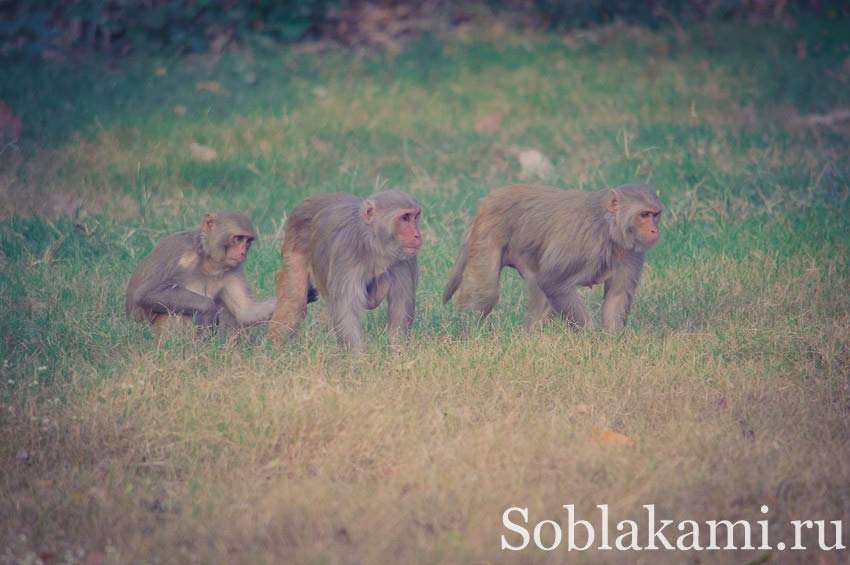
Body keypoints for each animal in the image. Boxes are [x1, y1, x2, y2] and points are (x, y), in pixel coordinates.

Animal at [125, 210, 274, 334]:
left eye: (248, 241)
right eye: (238, 238)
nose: (243, 252)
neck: (208, 259)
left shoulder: (234, 268)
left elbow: (245, 311)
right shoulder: (177, 252)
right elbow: (146, 294)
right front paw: (207, 309)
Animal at [268, 189, 420, 348]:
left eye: (415, 217)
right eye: (405, 218)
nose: (417, 235)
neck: (373, 243)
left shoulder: (405, 259)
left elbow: (401, 305)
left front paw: (396, 347)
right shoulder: (346, 249)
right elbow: (346, 310)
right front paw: (356, 354)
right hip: (295, 244)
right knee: (294, 301)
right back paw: (275, 346)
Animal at [444, 183, 664, 332]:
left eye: (655, 215)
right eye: (644, 215)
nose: (654, 231)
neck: (608, 226)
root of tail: (493, 196)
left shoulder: (631, 251)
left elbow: (617, 296)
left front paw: (611, 343)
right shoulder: (581, 241)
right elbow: (553, 281)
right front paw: (592, 337)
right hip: (488, 232)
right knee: (485, 294)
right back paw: (463, 335)